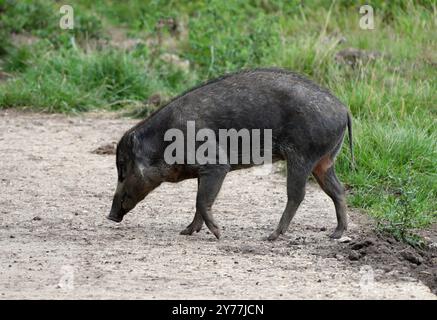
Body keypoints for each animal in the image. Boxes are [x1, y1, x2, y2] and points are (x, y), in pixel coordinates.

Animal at [107, 69, 352, 241]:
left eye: (123, 168)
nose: (110, 215)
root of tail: (344, 109)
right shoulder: (203, 171)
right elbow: (198, 201)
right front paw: (186, 232)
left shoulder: (216, 164)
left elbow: (201, 200)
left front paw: (218, 234)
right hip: (324, 161)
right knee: (337, 190)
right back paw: (336, 234)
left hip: (302, 156)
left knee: (297, 195)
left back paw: (271, 236)